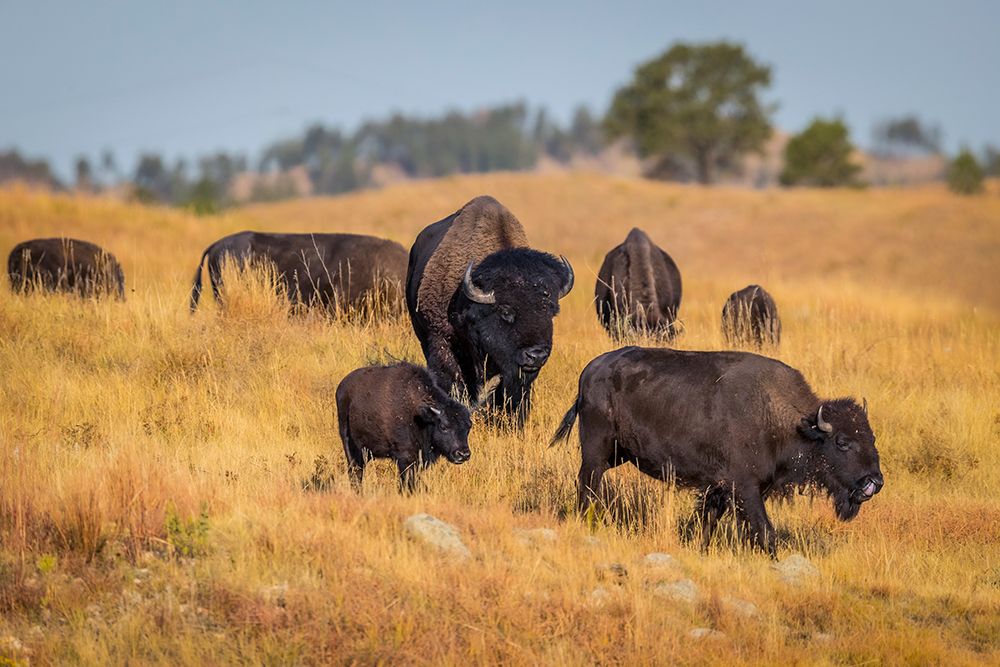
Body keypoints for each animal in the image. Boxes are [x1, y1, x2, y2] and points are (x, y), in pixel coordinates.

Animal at [336, 362, 472, 493]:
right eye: (444, 426)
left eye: (468, 428)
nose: (463, 454)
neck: (419, 415)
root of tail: (341, 388)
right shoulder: (405, 458)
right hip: (350, 444)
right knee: (355, 471)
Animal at [552, 346, 883, 556]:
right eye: (842, 442)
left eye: (872, 437)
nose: (874, 482)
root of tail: (590, 371)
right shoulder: (745, 488)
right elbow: (765, 532)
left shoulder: (720, 489)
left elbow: (706, 522)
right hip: (596, 451)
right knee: (587, 484)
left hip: (617, 454)